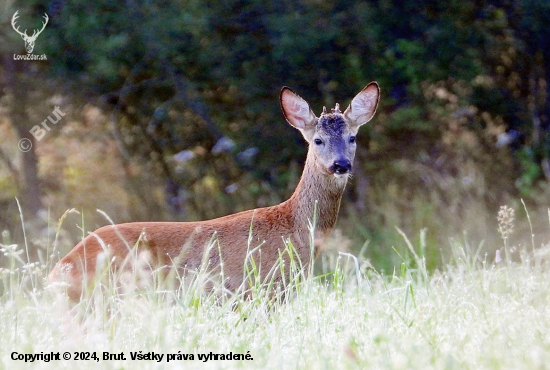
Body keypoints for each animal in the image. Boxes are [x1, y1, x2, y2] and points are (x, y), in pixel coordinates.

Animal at [49, 81, 380, 300]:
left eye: (352, 137)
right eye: (318, 140)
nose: (340, 164)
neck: (295, 230)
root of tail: (59, 268)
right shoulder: (263, 289)